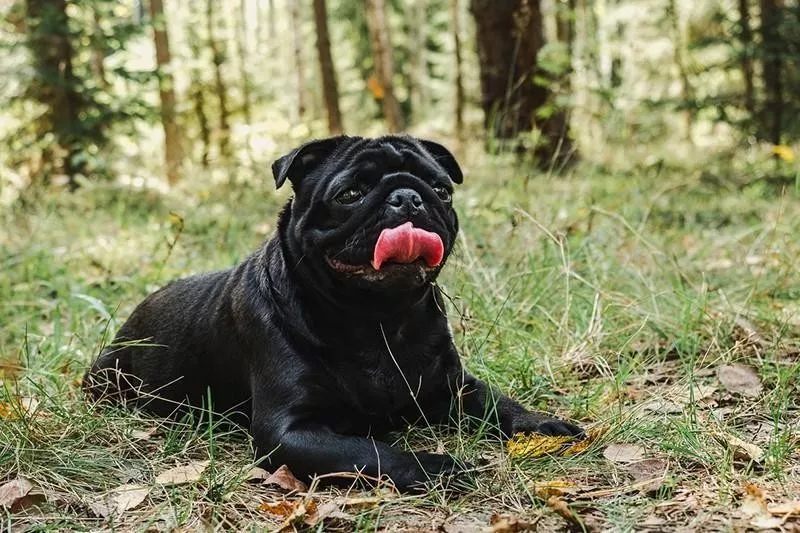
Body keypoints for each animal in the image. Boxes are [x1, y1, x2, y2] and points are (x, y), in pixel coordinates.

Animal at [86, 135, 580, 488]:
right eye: (351, 193)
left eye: (441, 189)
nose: (408, 196)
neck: (377, 320)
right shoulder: (291, 431)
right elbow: (369, 452)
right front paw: (436, 467)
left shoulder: (454, 387)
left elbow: (501, 404)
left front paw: (543, 424)